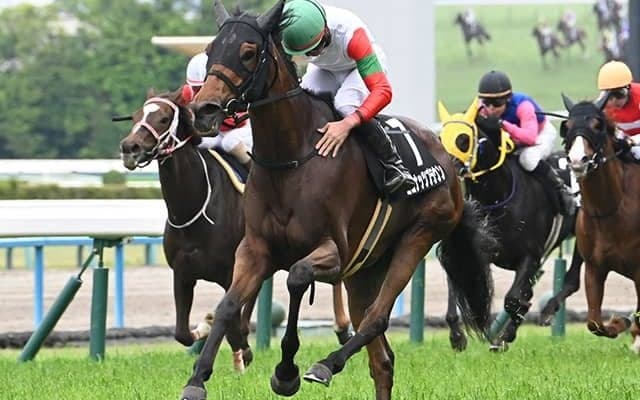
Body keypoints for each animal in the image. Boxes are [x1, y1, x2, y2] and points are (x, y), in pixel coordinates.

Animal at [117, 89, 353, 370]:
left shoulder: (229, 270)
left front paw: (239, 350)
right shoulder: (183, 273)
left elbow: (231, 322)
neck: (194, 207)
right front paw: (208, 328)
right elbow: (183, 333)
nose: (129, 148)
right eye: (135, 116)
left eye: (164, 118)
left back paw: (342, 326)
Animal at [181, 1, 496, 399]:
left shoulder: (334, 251)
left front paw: (286, 371)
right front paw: (197, 378)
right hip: (364, 270)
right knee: (382, 361)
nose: (204, 109)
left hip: (418, 237)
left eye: (249, 52)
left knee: (376, 319)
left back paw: (326, 364)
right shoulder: (254, 249)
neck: (292, 157)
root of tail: (451, 164)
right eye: (210, 51)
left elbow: (297, 277)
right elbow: (227, 306)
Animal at [438, 98, 583, 351]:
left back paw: (547, 312)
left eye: (463, 139)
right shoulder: (471, 251)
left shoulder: (530, 256)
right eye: (439, 137)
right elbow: (456, 286)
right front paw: (457, 336)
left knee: (572, 279)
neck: (496, 198)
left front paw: (503, 337)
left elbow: (514, 299)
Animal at [560, 94, 640, 349]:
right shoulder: (594, 267)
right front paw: (619, 323)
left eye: (597, 125)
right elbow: (594, 323)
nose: (578, 160)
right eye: (567, 126)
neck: (610, 210)